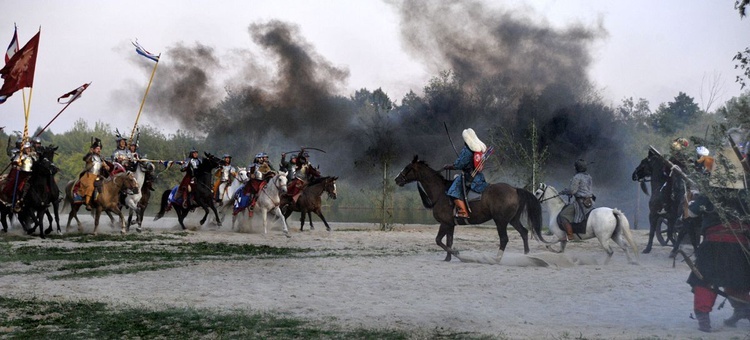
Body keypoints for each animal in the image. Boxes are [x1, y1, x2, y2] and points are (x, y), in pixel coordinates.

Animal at [394, 155, 548, 262]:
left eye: (407, 168)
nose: (397, 179)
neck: (441, 192)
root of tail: (515, 189)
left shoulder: (445, 223)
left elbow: (438, 240)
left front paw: (457, 254)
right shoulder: (450, 224)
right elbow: (449, 240)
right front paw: (447, 258)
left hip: (501, 221)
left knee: (504, 239)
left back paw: (497, 259)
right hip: (512, 219)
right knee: (524, 232)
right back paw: (526, 255)